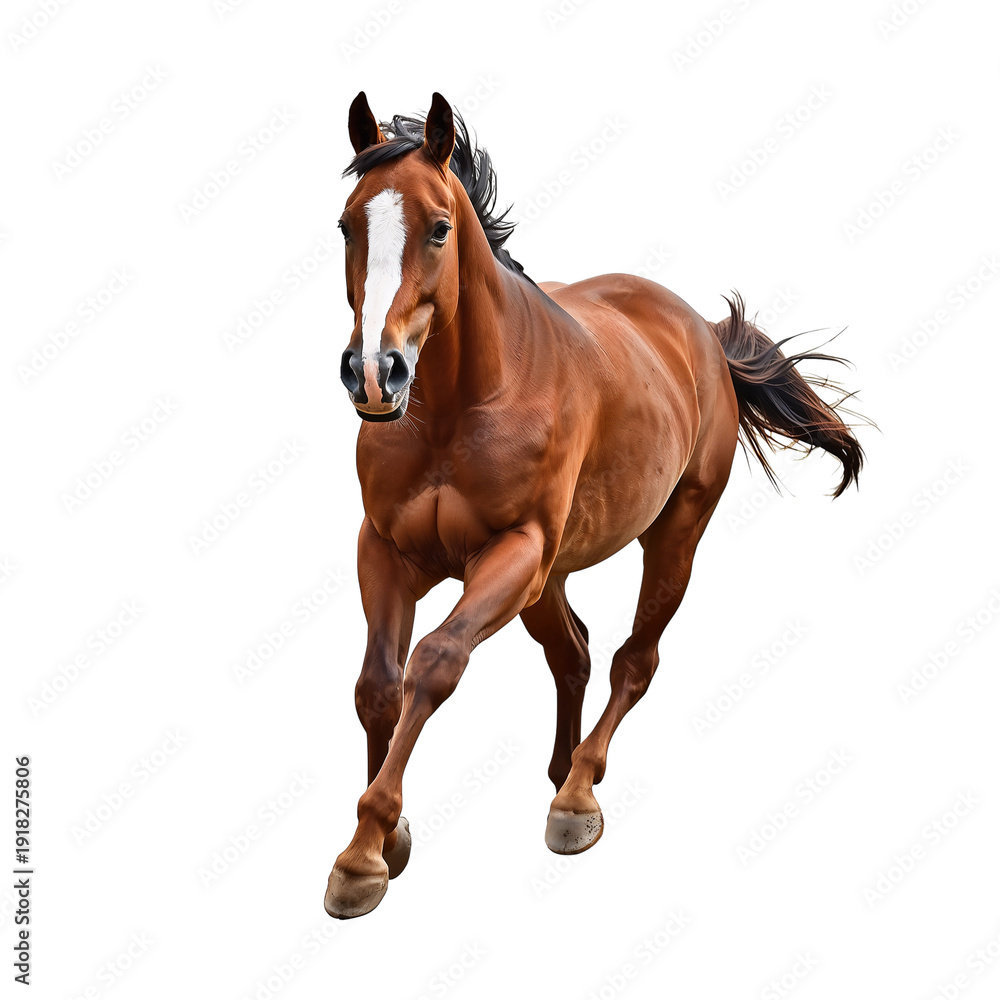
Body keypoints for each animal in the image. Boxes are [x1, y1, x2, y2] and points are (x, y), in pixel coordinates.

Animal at [325, 92, 864, 918]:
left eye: (440, 228)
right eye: (348, 224)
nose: (375, 373)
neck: (461, 406)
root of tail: (703, 334)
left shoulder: (514, 550)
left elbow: (434, 663)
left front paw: (362, 856)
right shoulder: (386, 549)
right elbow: (377, 685)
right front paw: (386, 840)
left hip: (669, 535)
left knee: (632, 661)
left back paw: (575, 798)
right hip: (550, 576)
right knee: (573, 650)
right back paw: (561, 770)